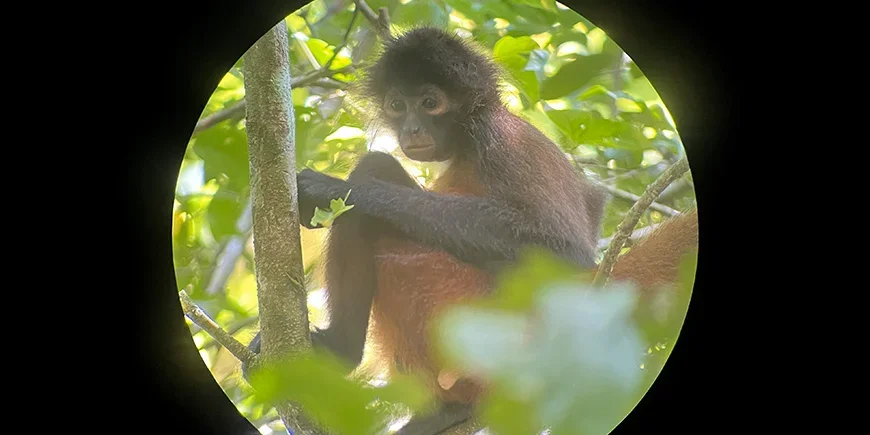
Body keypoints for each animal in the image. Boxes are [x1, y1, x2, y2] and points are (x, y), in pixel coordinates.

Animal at [244, 27, 699, 435]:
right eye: (397, 105)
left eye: (430, 103)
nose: (410, 129)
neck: (468, 133)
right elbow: (593, 202)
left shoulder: (499, 139)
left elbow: (562, 253)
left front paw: (333, 190)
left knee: (372, 186)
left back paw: (347, 355)